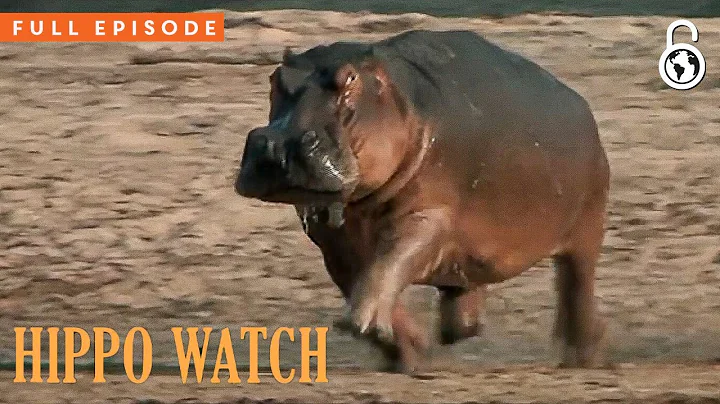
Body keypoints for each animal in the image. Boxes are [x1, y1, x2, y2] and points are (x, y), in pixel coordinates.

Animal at [235, 30, 610, 373]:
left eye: (350, 79)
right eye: (275, 77)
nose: (279, 145)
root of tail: (581, 105)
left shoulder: (428, 216)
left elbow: (389, 263)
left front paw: (360, 323)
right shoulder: (332, 241)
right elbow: (361, 277)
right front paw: (409, 350)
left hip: (586, 227)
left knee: (577, 286)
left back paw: (581, 357)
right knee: (464, 290)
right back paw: (460, 329)